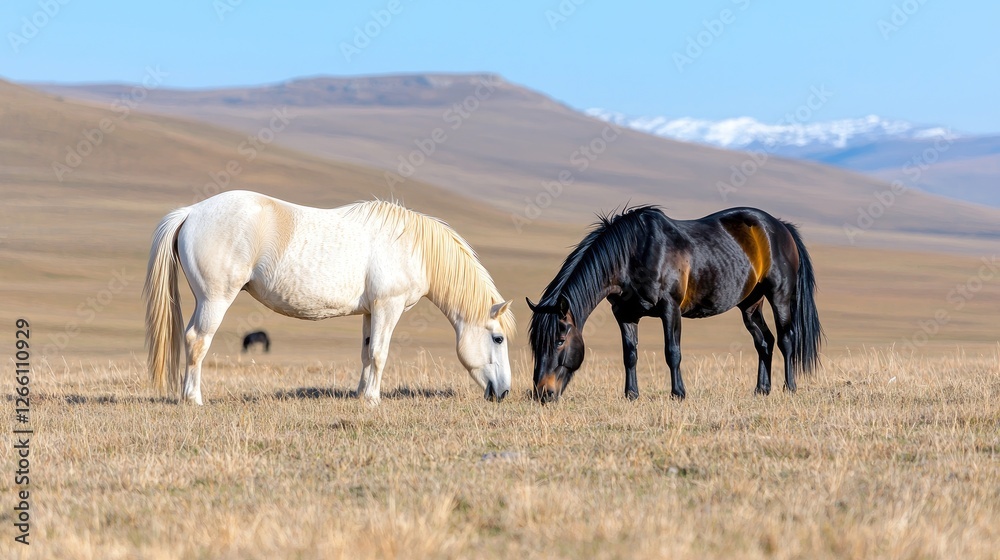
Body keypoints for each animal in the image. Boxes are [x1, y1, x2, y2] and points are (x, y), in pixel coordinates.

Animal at [144, 190, 515, 406]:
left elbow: (366, 352)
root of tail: (191, 212)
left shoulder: (371, 311)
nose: (504, 392)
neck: (415, 247)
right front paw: (373, 401)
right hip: (215, 299)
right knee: (197, 340)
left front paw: (361, 395)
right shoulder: (388, 307)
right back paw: (193, 399)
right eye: (497, 338)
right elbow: (380, 354)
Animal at [527, 205, 822, 403]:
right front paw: (631, 394)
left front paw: (678, 393)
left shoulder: (670, 309)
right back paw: (762, 389)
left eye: (560, 341)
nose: (542, 393)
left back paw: (789, 388)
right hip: (750, 304)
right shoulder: (624, 314)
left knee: (786, 339)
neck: (633, 253)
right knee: (764, 341)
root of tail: (780, 226)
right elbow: (629, 355)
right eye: (535, 344)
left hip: (779, 296)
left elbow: (672, 352)